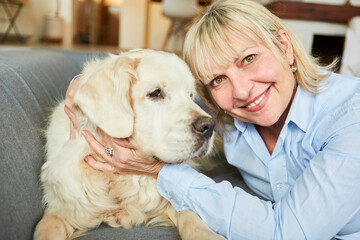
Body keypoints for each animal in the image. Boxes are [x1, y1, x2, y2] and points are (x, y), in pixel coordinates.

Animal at [34, 49, 225, 240]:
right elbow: (48, 227)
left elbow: (190, 214)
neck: (117, 178)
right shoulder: (61, 207)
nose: (208, 126)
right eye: (155, 93)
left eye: (190, 96)